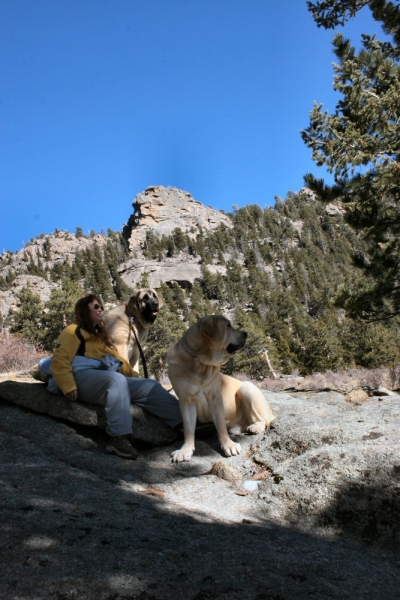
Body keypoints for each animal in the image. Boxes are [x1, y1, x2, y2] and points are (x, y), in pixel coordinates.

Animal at [166, 314, 276, 464]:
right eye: (228, 326)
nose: (245, 333)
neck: (200, 362)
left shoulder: (216, 398)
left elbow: (221, 426)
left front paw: (228, 445)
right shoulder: (186, 401)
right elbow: (188, 429)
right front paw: (185, 450)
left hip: (246, 387)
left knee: (265, 421)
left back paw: (256, 426)